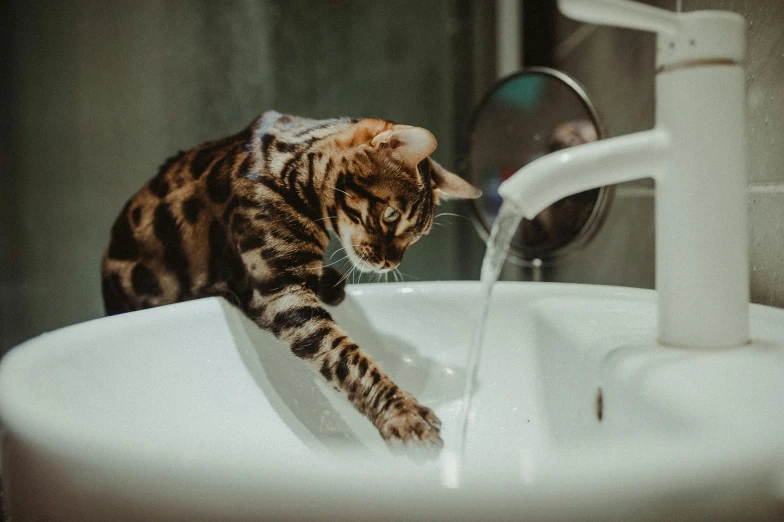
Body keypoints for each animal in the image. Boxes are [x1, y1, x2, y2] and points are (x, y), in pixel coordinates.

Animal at [102, 110, 484, 450]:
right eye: (391, 216)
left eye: (416, 236)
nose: (391, 263)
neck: (292, 168)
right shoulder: (280, 293)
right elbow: (347, 358)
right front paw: (401, 412)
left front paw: (329, 281)